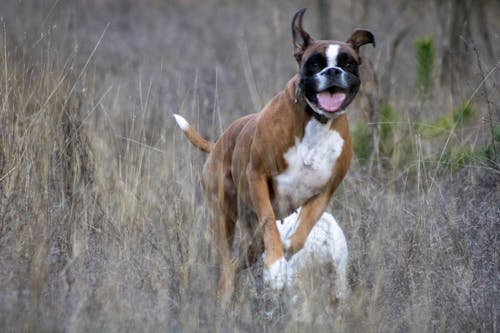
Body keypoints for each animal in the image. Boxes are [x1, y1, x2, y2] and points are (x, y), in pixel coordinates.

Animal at [174, 7, 374, 298]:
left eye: (349, 64)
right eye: (315, 63)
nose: (333, 70)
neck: (315, 121)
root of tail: (220, 142)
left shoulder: (323, 193)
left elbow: (300, 235)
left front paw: (286, 250)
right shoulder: (258, 176)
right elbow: (270, 222)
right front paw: (276, 266)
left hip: (251, 234)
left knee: (240, 258)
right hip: (223, 216)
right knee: (227, 260)